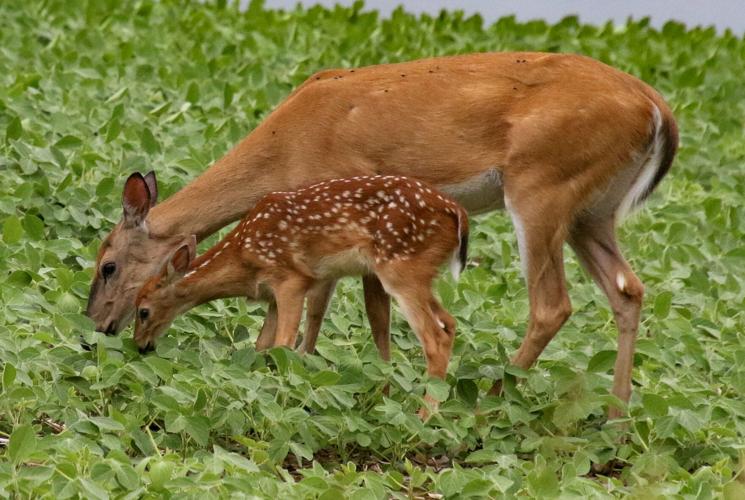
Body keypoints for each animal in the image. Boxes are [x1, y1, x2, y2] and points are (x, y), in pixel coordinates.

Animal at [132, 175, 469, 414]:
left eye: (143, 310)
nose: (140, 346)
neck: (243, 255)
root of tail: (458, 213)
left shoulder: (291, 280)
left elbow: (283, 345)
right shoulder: (271, 296)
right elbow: (262, 346)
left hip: (400, 268)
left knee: (434, 337)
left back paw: (425, 417)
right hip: (420, 275)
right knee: (450, 323)